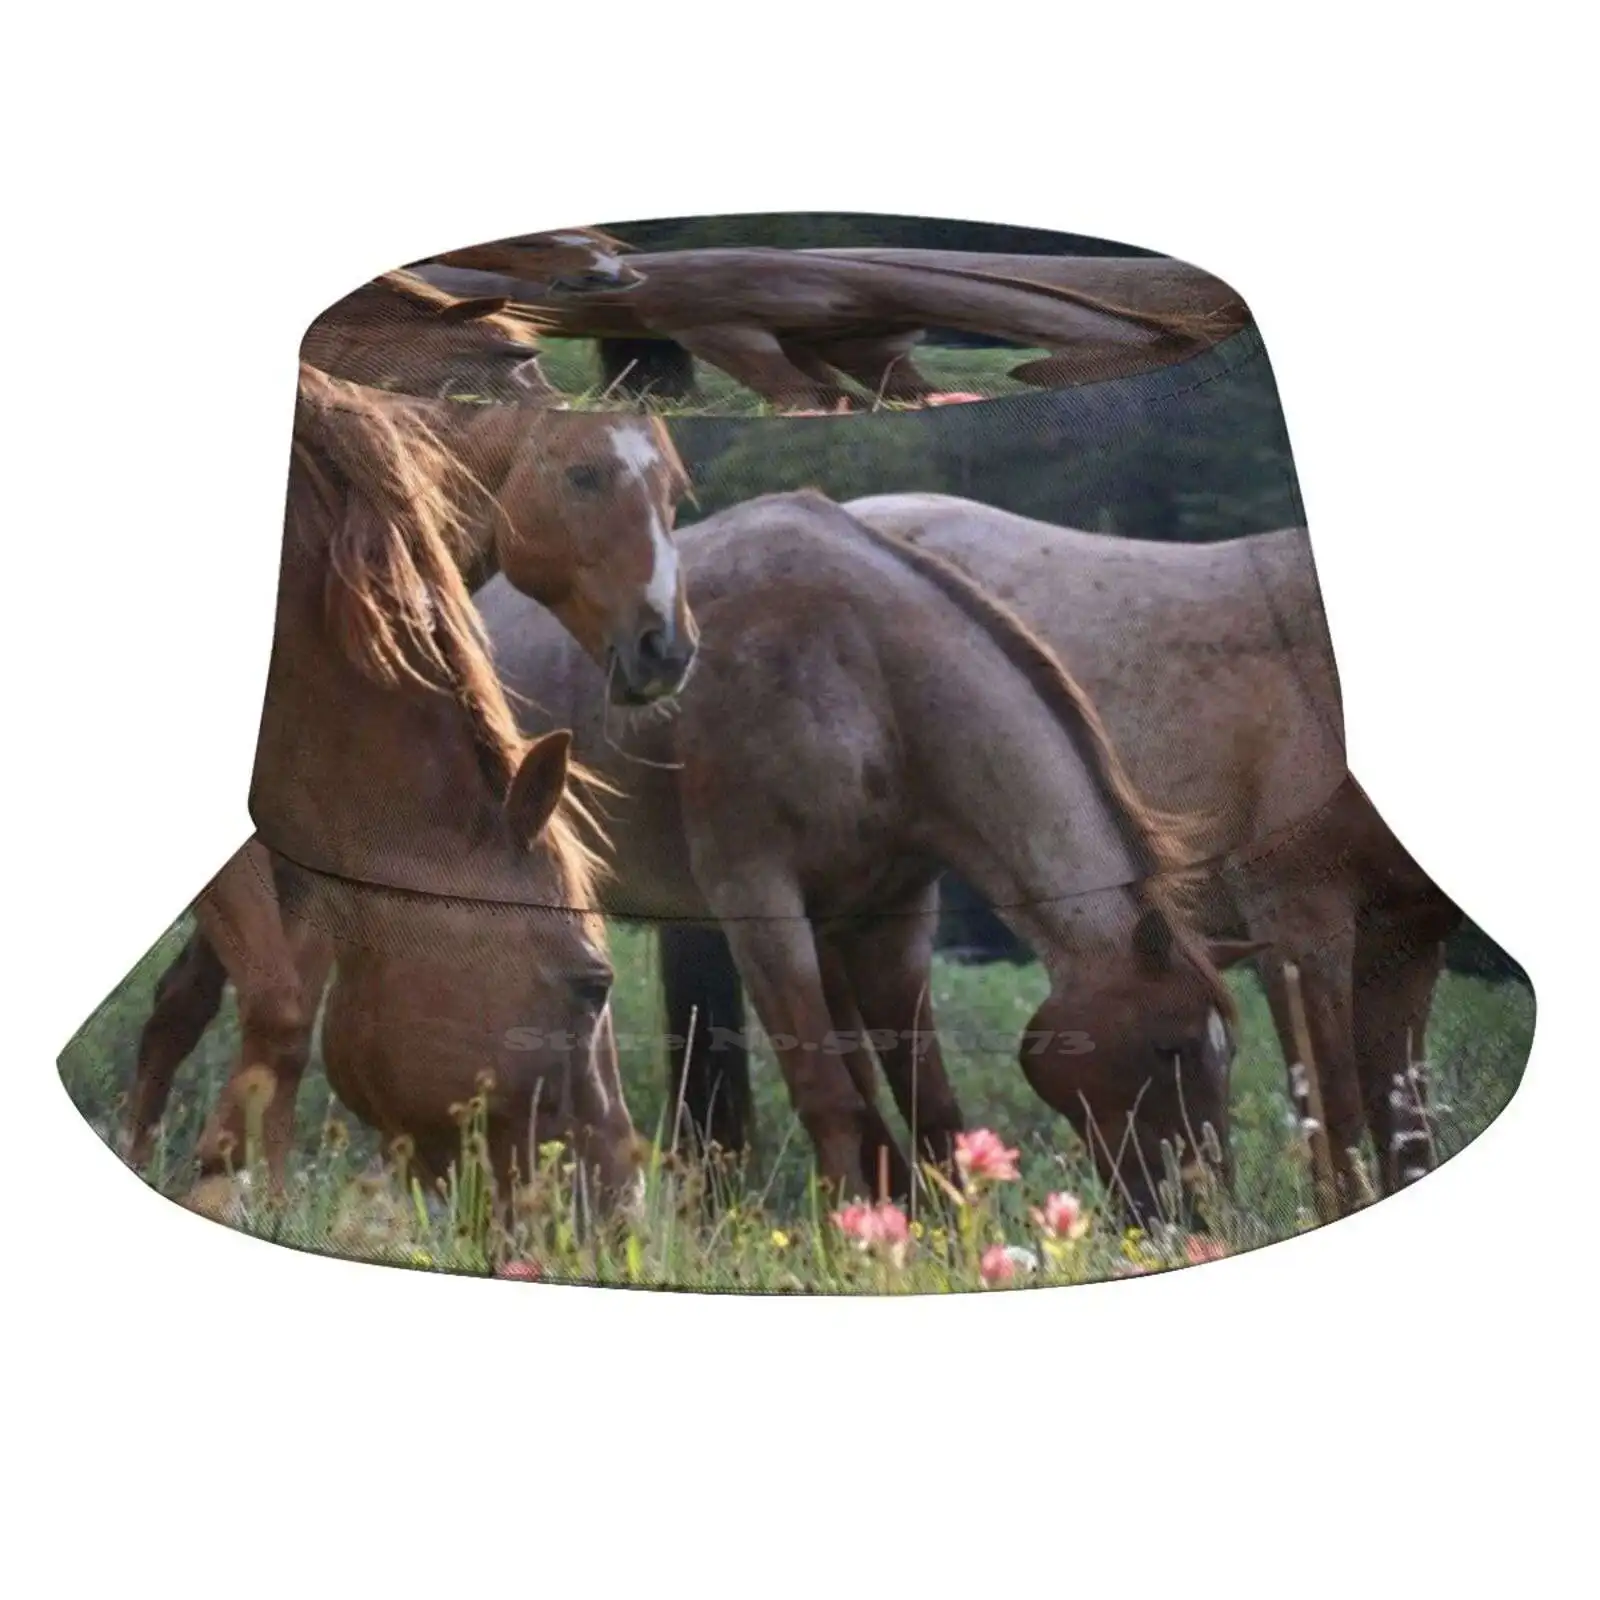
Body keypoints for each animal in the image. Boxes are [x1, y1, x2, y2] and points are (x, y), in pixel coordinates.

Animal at [478, 490, 1257, 1214]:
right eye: (1170, 1047)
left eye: (1224, 1053)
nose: (1198, 1210)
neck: (862, 671)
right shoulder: (761, 909)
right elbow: (830, 1098)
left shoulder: (891, 920)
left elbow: (926, 1101)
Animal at [661, 494, 1465, 1215]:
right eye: (1169, 1053)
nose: (1189, 1211)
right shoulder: (1299, 931)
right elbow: (1337, 1117)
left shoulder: (1407, 942)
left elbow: (1404, 1122)